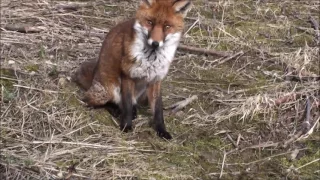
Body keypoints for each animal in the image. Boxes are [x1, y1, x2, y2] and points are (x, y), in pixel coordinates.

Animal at [73, 0, 192, 139]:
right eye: (150, 22)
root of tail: (94, 76)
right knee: (89, 100)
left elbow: (158, 110)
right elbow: (127, 105)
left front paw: (161, 130)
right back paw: (115, 110)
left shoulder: (156, 79)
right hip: (107, 91)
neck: (151, 59)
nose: (155, 43)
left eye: (167, 26)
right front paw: (126, 126)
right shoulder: (127, 75)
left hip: (143, 95)